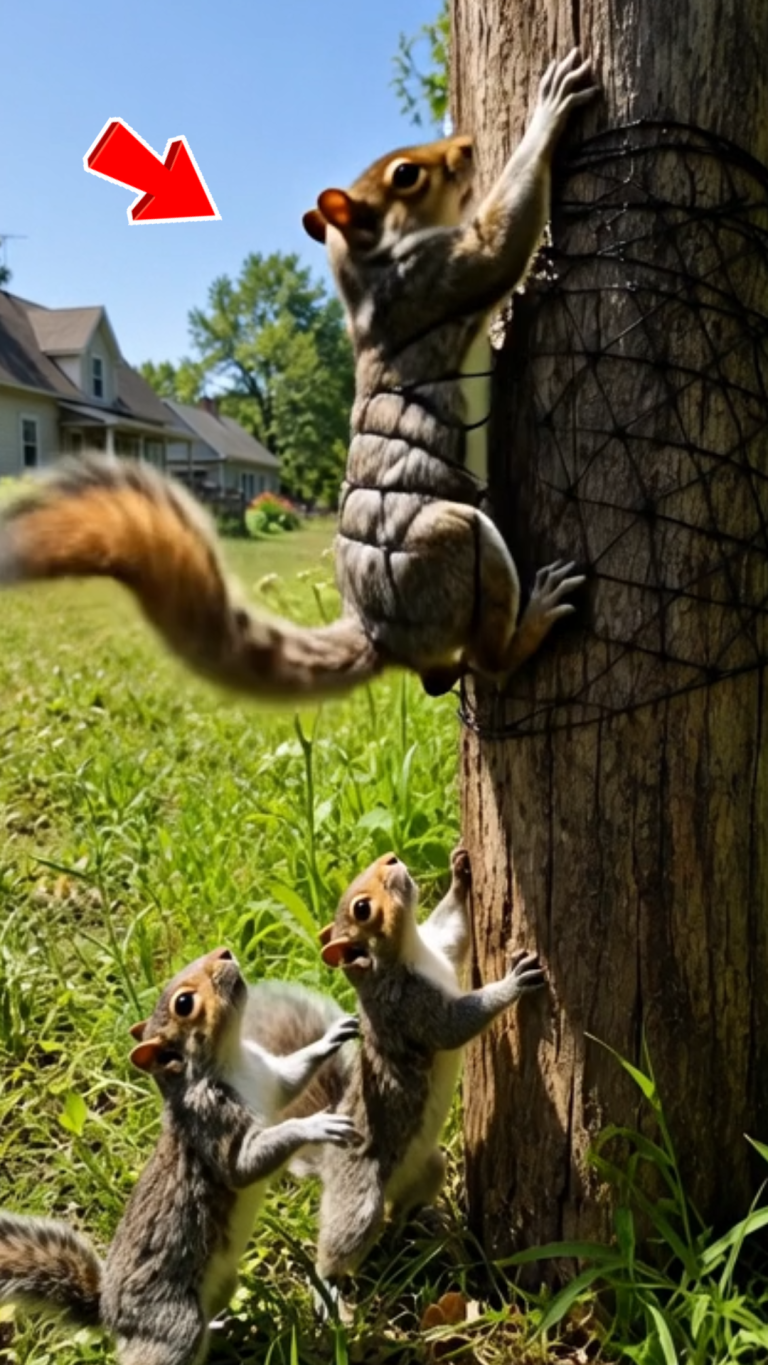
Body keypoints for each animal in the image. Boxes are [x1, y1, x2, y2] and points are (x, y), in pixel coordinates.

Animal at [0, 51, 596, 701]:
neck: (369, 270)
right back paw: (533, 620)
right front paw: (547, 112)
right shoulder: (439, 278)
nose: (465, 145)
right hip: (455, 544)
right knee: (487, 659)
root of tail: (379, 635)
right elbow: (501, 242)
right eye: (406, 176)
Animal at [0, 947, 359, 1365]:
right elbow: (243, 1166)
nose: (224, 952)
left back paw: (222, 1327)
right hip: (174, 1323)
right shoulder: (212, 1125)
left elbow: (294, 1076)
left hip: (221, 1286)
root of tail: (112, 1316)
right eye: (184, 1003)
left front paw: (332, 1036)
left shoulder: (270, 1077)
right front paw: (314, 1124)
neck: (232, 1062)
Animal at [311, 848, 545, 1303]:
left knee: (400, 1210)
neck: (411, 953)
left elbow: (455, 926)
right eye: (362, 909)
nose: (390, 858)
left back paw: (415, 1226)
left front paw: (460, 871)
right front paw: (513, 983)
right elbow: (456, 1025)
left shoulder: (441, 946)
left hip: (430, 1167)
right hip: (359, 1199)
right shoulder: (412, 1010)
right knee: (342, 1242)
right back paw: (327, 1288)